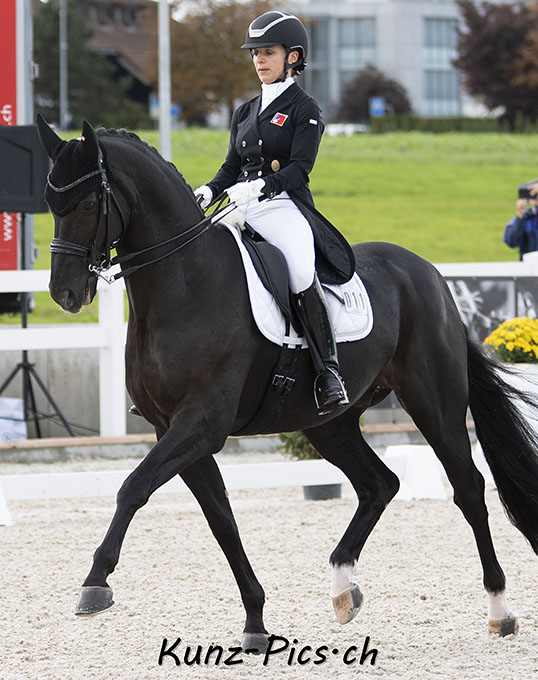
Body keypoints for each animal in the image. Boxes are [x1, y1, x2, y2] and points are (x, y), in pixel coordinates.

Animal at [37, 118, 536, 648]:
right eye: (50, 203)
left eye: (87, 204)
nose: (65, 293)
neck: (183, 284)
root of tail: (430, 275)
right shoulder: (171, 428)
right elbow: (221, 519)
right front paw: (255, 620)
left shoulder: (201, 424)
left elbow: (133, 487)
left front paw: (95, 583)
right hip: (328, 422)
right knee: (379, 483)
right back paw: (343, 589)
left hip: (434, 404)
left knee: (469, 490)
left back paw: (500, 610)